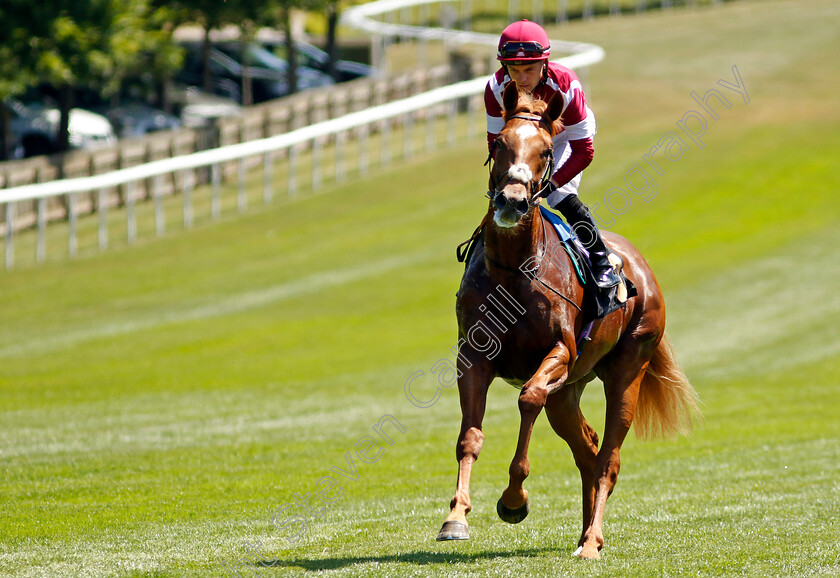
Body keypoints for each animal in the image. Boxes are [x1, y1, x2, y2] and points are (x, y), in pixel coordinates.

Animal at [436, 83, 700, 556]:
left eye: (544, 151)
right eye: (500, 144)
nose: (512, 201)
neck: (514, 269)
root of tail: (643, 267)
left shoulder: (559, 351)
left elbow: (528, 399)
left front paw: (514, 500)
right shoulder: (474, 357)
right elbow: (470, 436)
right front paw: (456, 517)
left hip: (628, 369)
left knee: (608, 458)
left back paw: (591, 541)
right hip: (571, 389)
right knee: (588, 450)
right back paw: (584, 532)